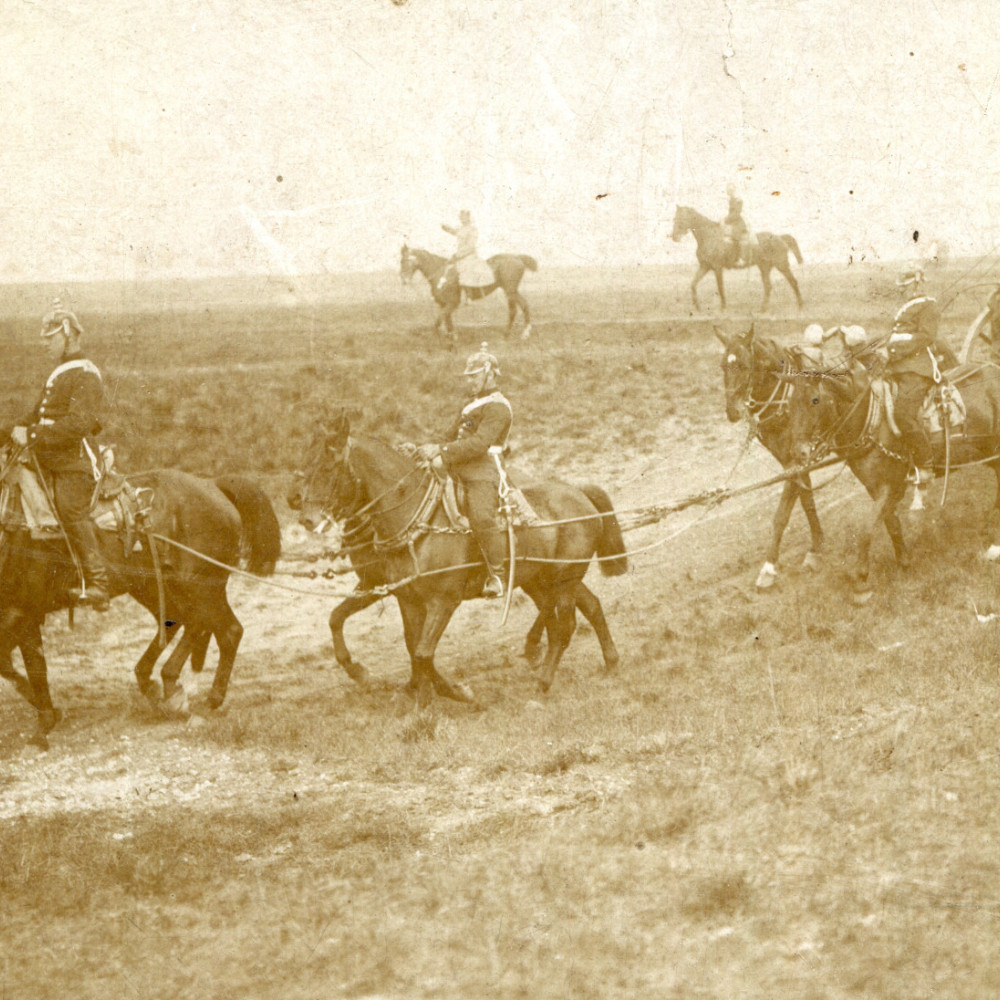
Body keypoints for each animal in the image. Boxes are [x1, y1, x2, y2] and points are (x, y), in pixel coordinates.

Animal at [0, 462, 282, 744]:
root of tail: (211, 484)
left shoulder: (24, 612)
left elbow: (28, 666)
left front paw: (45, 722)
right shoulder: (18, 616)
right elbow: (14, 664)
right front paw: (49, 715)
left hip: (200, 585)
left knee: (222, 629)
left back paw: (198, 694)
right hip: (154, 586)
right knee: (181, 621)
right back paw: (156, 682)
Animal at [400, 245, 540, 344]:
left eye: (405, 260)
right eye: (400, 261)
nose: (404, 280)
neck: (441, 273)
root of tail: (517, 257)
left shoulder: (452, 303)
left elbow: (439, 321)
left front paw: (440, 337)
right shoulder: (444, 304)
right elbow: (447, 321)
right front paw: (452, 337)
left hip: (510, 290)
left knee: (521, 307)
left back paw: (523, 334)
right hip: (510, 291)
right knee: (517, 309)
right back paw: (508, 334)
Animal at [672, 204, 804, 310]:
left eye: (681, 218)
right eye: (674, 218)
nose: (674, 237)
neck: (709, 237)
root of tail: (780, 237)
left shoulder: (717, 268)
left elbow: (720, 288)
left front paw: (723, 308)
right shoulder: (705, 267)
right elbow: (693, 284)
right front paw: (697, 307)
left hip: (781, 265)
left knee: (793, 282)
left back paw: (800, 306)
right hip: (765, 267)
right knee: (768, 286)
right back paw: (763, 310)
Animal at [720, 326, 828, 584]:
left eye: (744, 364)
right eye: (722, 365)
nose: (732, 411)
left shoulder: (795, 459)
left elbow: (781, 514)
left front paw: (768, 566)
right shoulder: (793, 460)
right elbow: (807, 500)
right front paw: (817, 546)